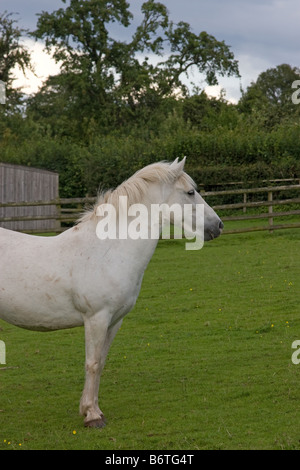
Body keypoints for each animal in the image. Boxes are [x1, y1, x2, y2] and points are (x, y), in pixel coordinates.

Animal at [0, 157, 223, 426]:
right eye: (190, 192)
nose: (218, 226)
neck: (107, 250)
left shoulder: (115, 321)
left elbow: (102, 362)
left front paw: (91, 408)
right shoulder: (96, 318)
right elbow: (93, 363)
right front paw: (92, 416)